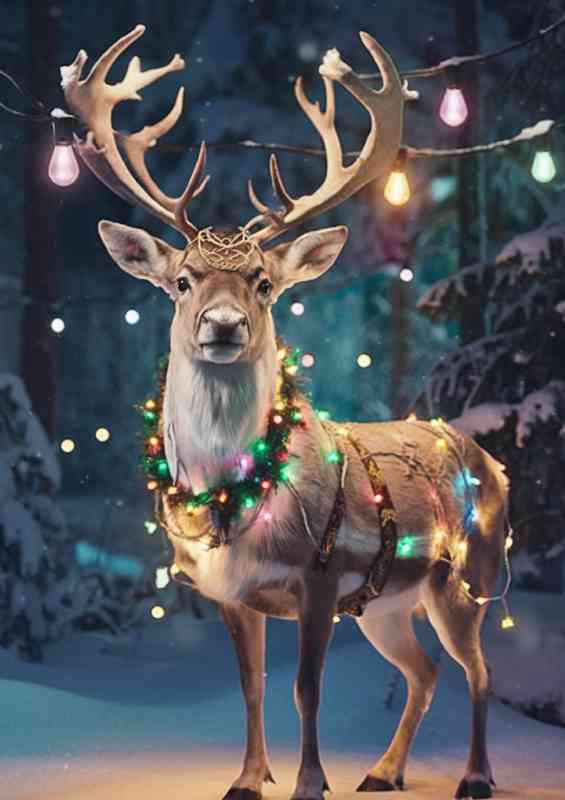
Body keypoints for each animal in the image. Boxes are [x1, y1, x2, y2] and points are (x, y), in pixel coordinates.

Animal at [62, 26, 509, 800]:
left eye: (264, 282)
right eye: (182, 281)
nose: (222, 325)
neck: (235, 490)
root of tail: (491, 461)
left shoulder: (320, 580)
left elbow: (307, 688)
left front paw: (309, 782)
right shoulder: (229, 592)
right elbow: (252, 685)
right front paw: (247, 779)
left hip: (467, 574)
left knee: (477, 671)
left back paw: (475, 776)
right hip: (387, 606)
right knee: (425, 671)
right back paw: (383, 772)